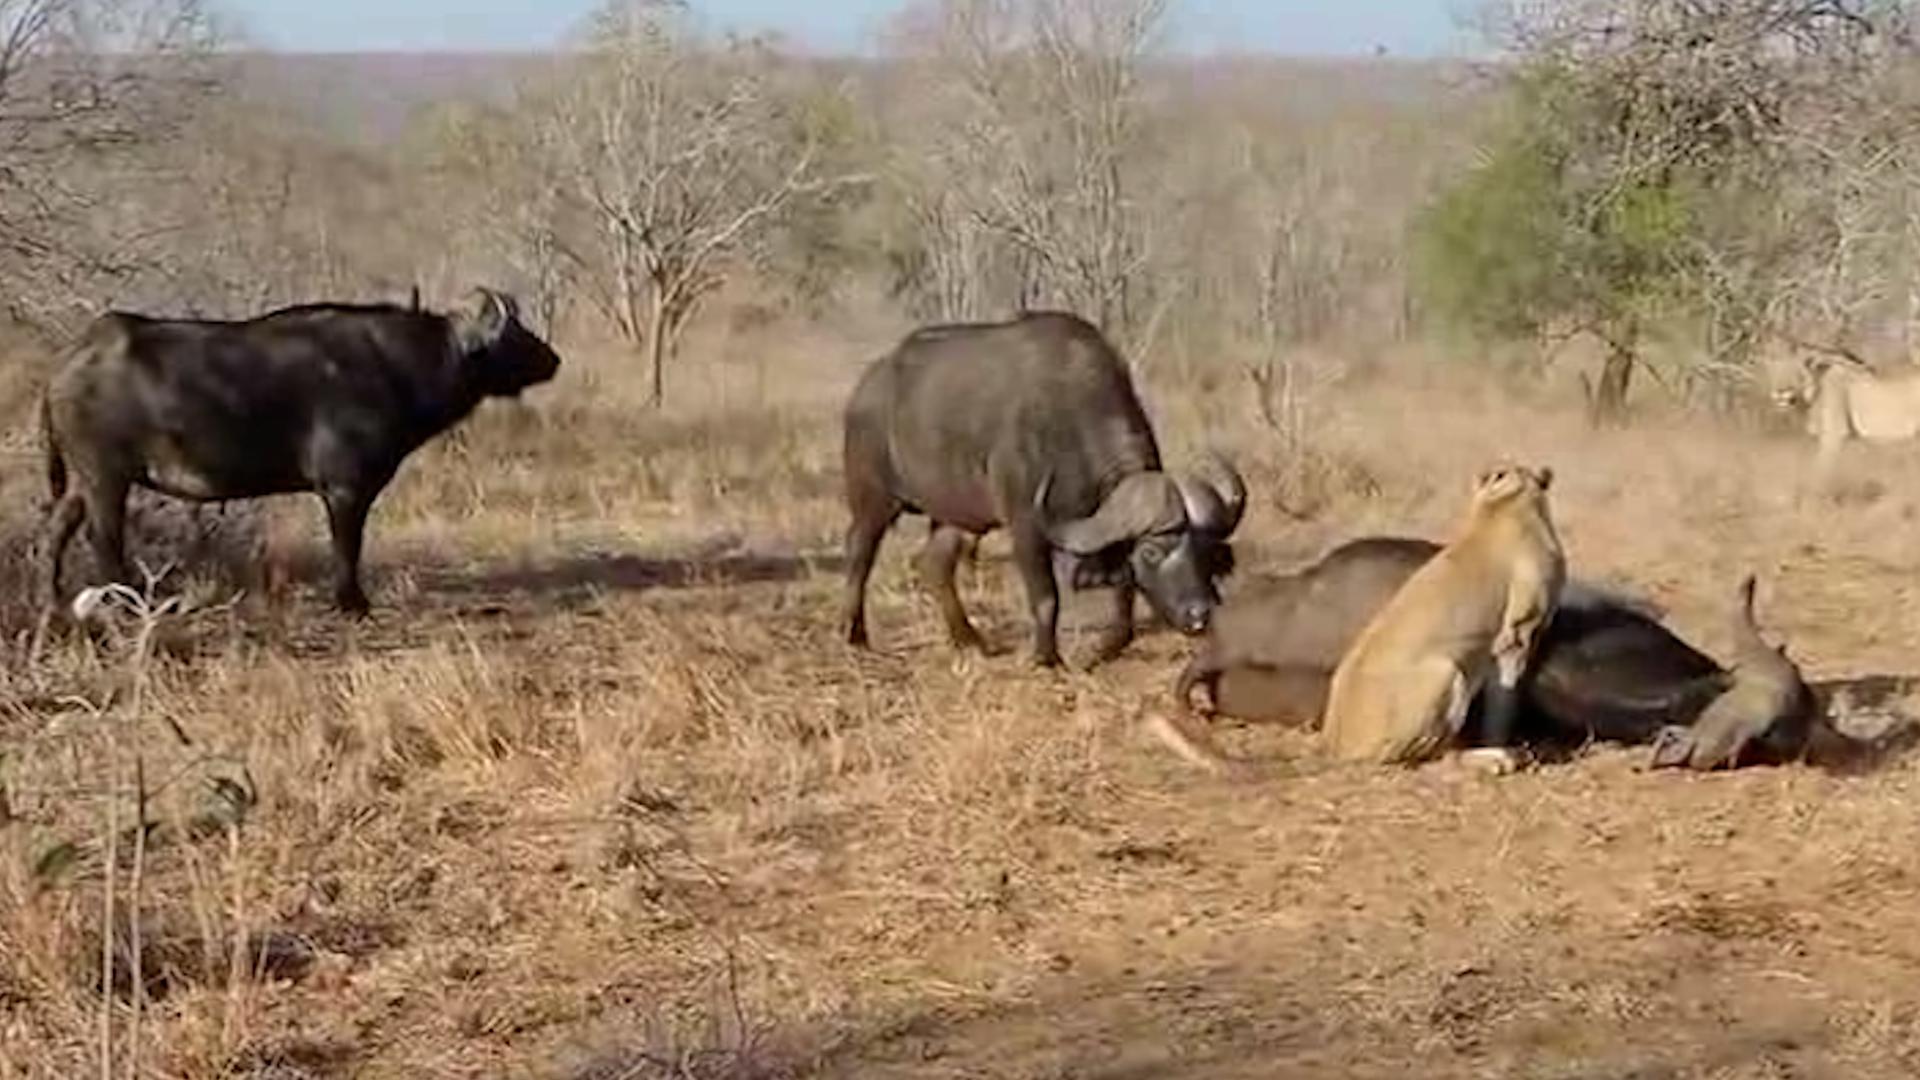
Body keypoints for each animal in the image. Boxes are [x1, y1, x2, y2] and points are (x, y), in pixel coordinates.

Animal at [41, 284, 560, 614]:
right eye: (514, 333)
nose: (553, 359)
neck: (397, 364)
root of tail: (71, 358)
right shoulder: (346, 489)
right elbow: (347, 545)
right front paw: (352, 602)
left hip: (84, 482)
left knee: (58, 528)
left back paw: (55, 595)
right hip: (106, 478)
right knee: (104, 538)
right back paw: (127, 601)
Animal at [840, 309, 1244, 664]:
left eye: (1205, 552)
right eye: (1152, 552)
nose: (1200, 615)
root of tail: (868, 386)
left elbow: (1124, 596)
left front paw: (1105, 648)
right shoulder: (1026, 526)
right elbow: (1047, 598)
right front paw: (1046, 658)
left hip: (953, 514)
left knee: (935, 565)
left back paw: (969, 640)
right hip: (872, 497)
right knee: (860, 554)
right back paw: (854, 634)